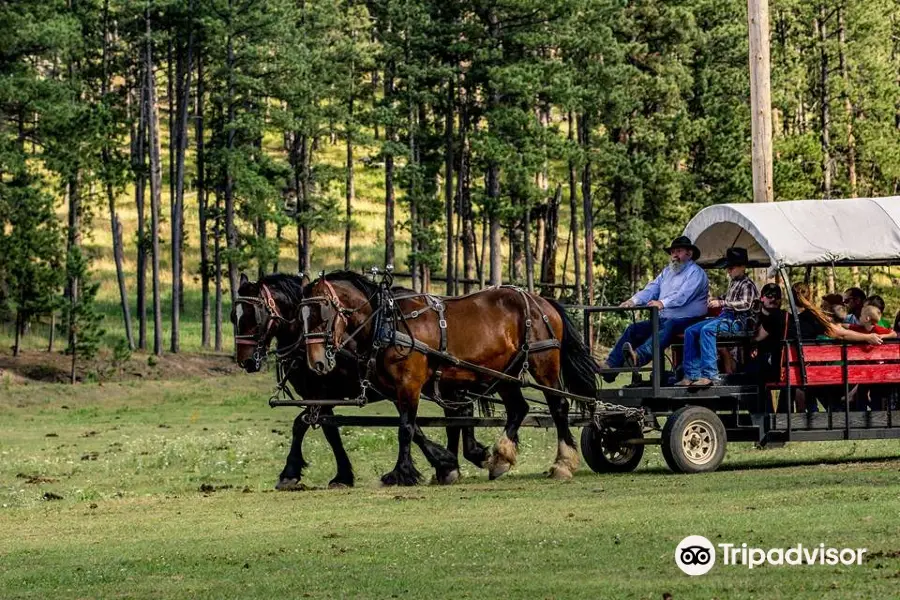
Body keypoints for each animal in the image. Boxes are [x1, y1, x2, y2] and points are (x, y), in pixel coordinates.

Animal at [298, 270, 600, 486]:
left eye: (323, 312)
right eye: (302, 316)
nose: (317, 362)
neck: (387, 323)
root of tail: (542, 301)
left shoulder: (409, 384)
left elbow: (405, 428)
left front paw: (401, 473)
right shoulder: (396, 390)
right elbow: (416, 427)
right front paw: (445, 464)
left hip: (543, 363)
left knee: (558, 406)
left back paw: (562, 464)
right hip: (507, 373)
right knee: (518, 408)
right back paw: (500, 458)